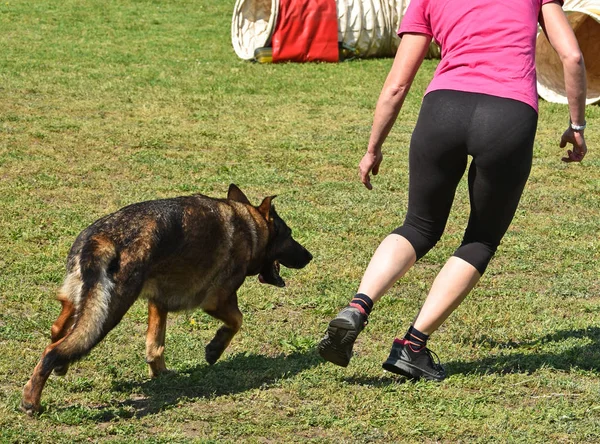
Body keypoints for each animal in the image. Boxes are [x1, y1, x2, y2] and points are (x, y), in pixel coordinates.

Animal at [21, 185, 312, 416]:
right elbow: (237, 321)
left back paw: (59, 369)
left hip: (82, 304)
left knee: (58, 330)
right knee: (53, 349)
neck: (250, 226)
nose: (309, 256)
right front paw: (214, 349)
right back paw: (31, 400)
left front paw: (160, 372)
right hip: (109, 312)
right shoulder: (217, 301)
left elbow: (155, 345)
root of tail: (101, 237)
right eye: (290, 234)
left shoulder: (158, 302)